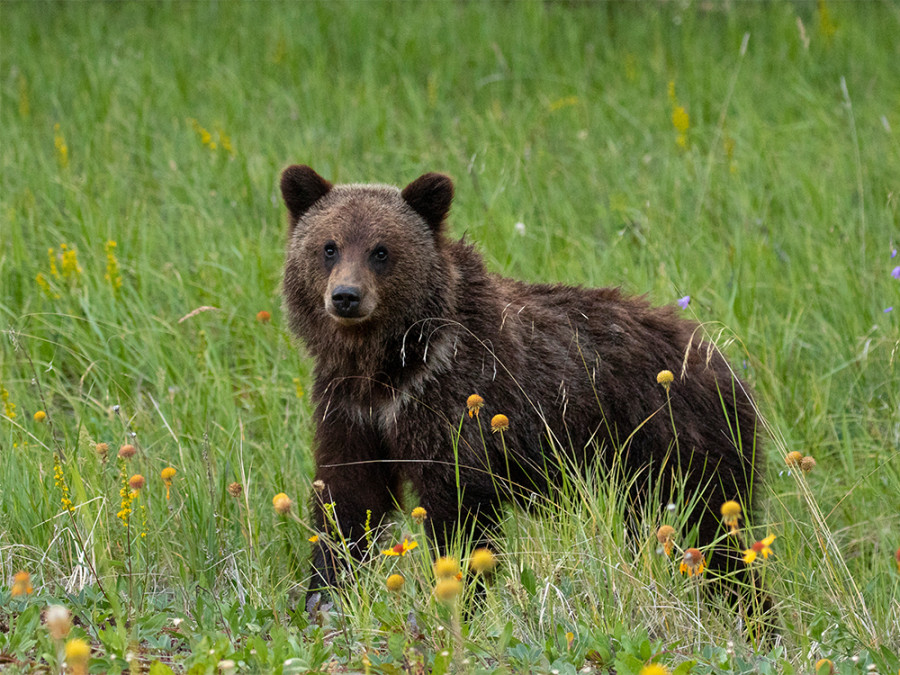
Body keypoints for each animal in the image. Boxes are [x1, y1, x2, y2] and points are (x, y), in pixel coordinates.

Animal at [280, 166, 760, 608]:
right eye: (328, 246)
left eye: (381, 251)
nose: (346, 296)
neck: (389, 366)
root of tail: (718, 358)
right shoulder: (351, 409)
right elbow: (347, 500)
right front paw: (324, 594)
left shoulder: (451, 404)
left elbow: (459, 511)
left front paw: (464, 599)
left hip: (677, 446)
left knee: (718, 537)